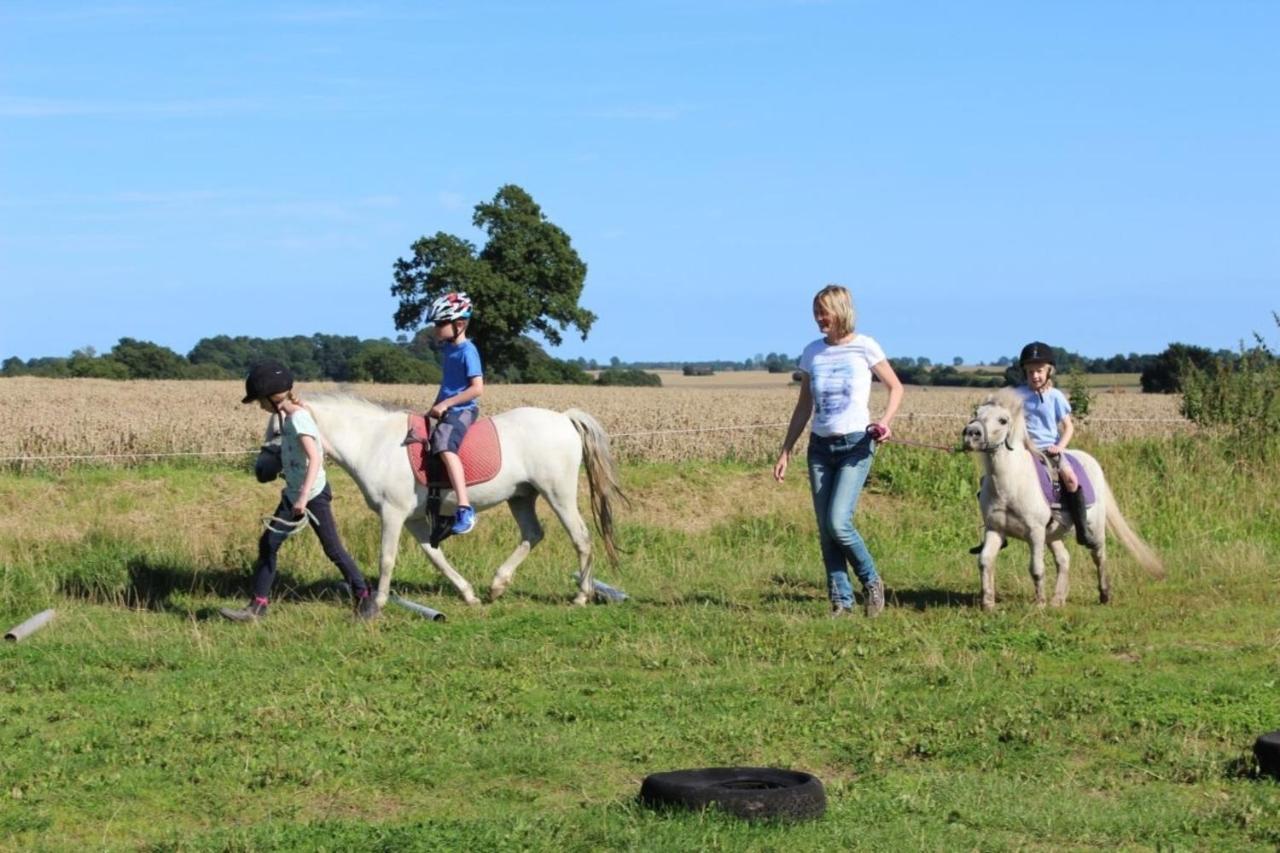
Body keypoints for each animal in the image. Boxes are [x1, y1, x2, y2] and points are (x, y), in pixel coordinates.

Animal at [279, 391, 619, 612]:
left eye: (283, 429)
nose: (274, 469)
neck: (373, 443)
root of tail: (564, 418)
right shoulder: (415, 519)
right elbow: (435, 556)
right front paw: (468, 595)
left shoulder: (393, 513)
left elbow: (386, 557)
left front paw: (378, 603)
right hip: (521, 496)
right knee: (533, 534)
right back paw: (497, 586)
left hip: (558, 493)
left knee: (581, 538)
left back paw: (582, 596)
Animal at [962, 389, 1162, 607]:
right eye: (977, 412)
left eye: (1003, 420)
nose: (971, 434)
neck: (1010, 485)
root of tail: (1091, 461)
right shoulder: (995, 529)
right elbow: (985, 561)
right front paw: (988, 603)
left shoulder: (1036, 532)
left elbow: (1036, 568)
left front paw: (1040, 604)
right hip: (1054, 534)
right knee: (1064, 559)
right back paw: (1058, 599)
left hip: (1094, 528)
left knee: (1099, 556)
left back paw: (1104, 595)